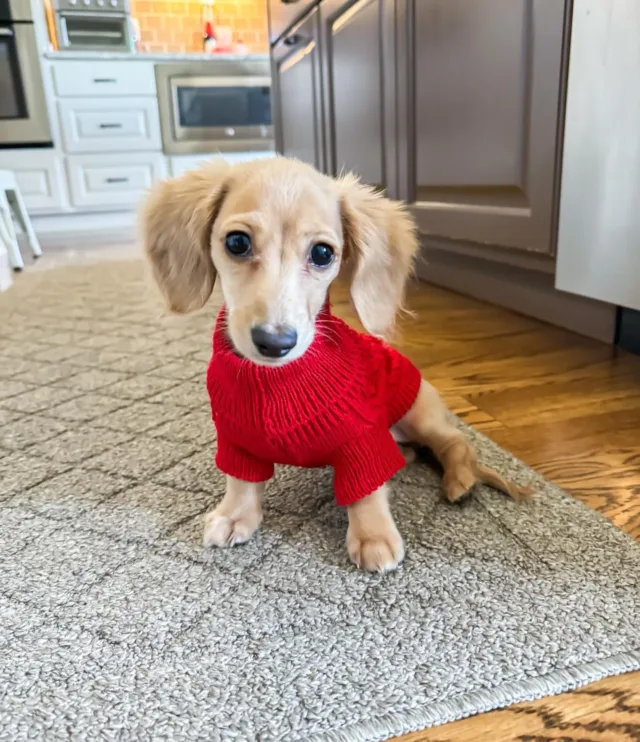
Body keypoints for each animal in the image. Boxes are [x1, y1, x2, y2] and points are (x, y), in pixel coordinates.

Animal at [142, 157, 528, 576]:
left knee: (456, 442)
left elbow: (367, 490)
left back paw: (460, 481)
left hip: (418, 414)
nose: (275, 342)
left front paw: (373, 535)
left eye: (323, 253)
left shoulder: (362, 437)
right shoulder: (236, 437)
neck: (277, 381)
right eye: (237, 243)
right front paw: (235, 514)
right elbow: (241, 480)